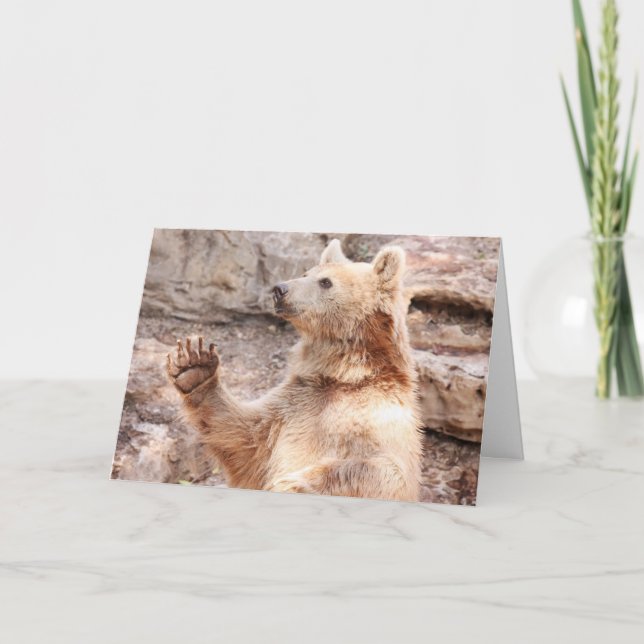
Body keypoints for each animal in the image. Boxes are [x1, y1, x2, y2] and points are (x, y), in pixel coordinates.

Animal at [166, 238, 423, 502]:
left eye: (325, 282)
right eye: (306, 273)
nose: (279, 289)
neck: (345, 374)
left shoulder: (379, 420)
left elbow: (385, 471)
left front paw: (291, 483)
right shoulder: (294, 403)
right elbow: (245, 438)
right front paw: (194, 367)